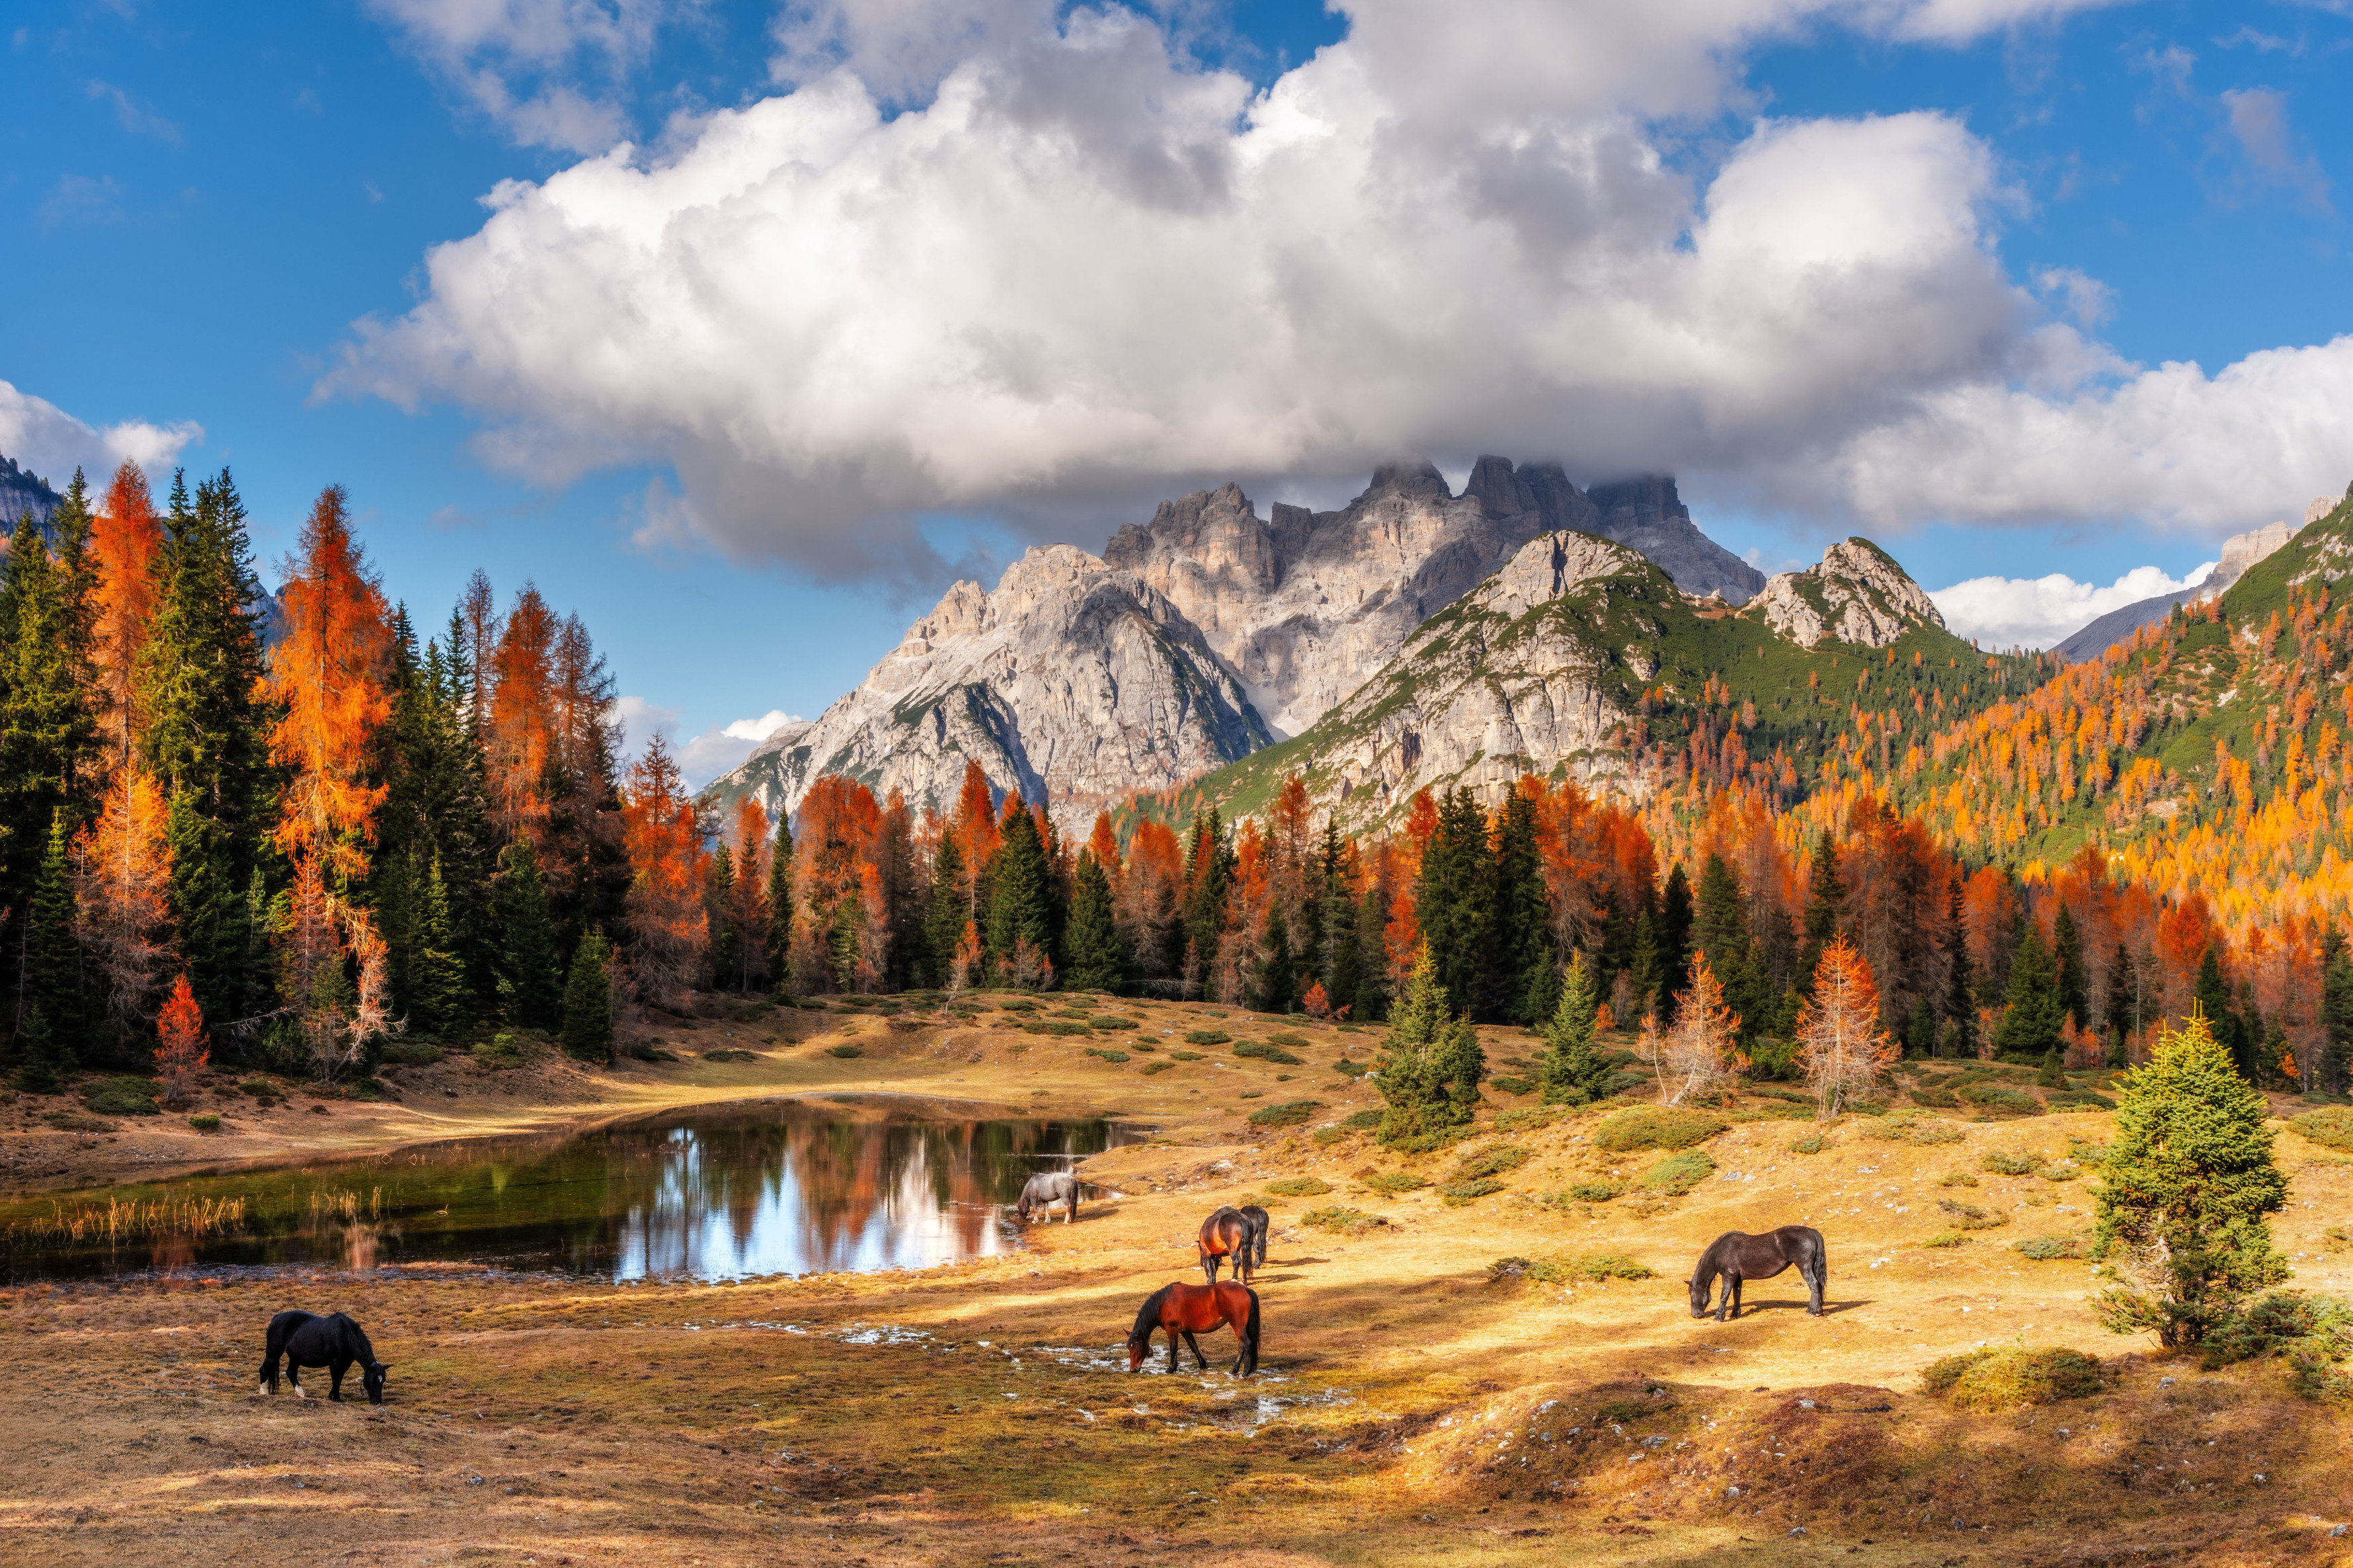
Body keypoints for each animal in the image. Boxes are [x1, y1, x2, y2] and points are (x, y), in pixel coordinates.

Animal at [259, 1316, 391, 1410]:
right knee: (264, 1369)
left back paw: (301, 1394)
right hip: (274, 1353)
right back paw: (264, 1393)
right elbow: (336, 1380)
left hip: (295, 1358)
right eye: (373, 1380)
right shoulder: (334, 1364)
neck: (345, 1336)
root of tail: (276, 1318)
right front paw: (336, 1399)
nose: (378, 1403)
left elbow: (339, 1380)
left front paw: (332, 1396)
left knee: (291, 1373)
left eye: (383, 1380)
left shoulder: (345, 1365)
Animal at [1125, 1288, 1261, 1372]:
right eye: (1129, 1348)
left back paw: (1245, 1372)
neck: (1163, 1303)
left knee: (1247, 1345)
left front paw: (1171, 1369)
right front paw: (1203, 1364)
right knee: (1242, 1346)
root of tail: (1245, 1289)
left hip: (1237, 1326)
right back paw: (1235, 1370)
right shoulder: (1185, 1330)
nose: (1133, 1370)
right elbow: (1193, 1346)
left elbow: (1173, 1348)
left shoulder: (1172, 1329)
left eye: (1137, 1347)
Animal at [1685, 1222, 1826, 1325]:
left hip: (1804, 1267)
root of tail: (1811, 1231)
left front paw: (1719, 1317)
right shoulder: (1738, 1279)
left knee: (1814, 1284)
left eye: (1691, 1293)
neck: (1720, 1251)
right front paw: (1735, 1314)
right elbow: (1737, 1295)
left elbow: (1724, 1296)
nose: (1696, 1315)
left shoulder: (1728, 1276)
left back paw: (1813, 1312)